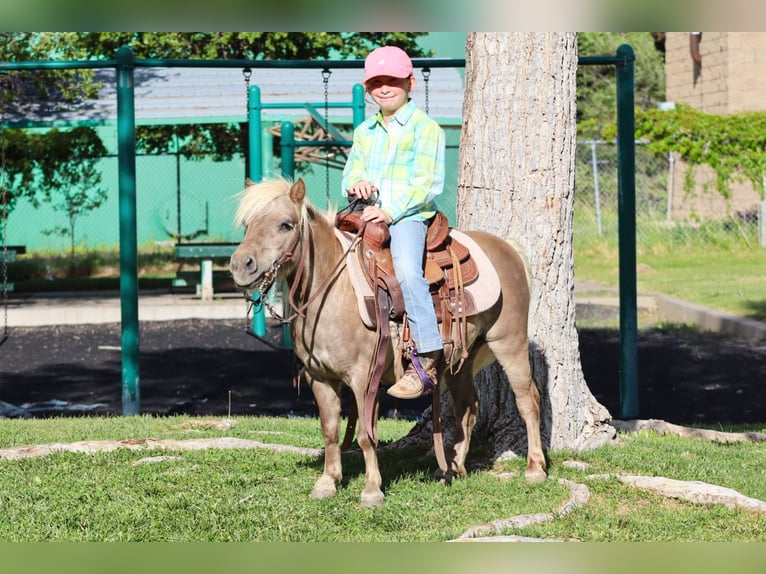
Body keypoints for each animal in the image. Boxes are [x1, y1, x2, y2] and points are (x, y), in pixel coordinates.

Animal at [229, 177, 546, 507]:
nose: (240, 265)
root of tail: (508, 248)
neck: (333, 291)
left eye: (285, 224)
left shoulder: (363, 378)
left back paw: (535, 469)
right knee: (468, 407)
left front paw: (372, 490)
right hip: (463, 357)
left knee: (528, 400)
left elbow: (366, 435)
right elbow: (330, 431)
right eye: (247, 224)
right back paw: (454, 468)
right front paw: (327, 482)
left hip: (509, 342)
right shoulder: (320, 378)